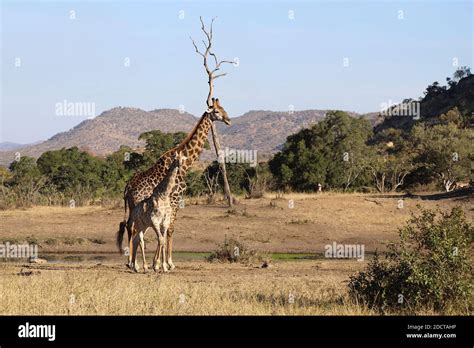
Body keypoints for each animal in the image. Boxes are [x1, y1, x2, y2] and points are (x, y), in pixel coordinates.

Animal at [116, 98, 231, 270]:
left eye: (223, 108)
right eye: (217, 111)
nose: (228, 120)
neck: (186, 164)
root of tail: (127, 188)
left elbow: (165, 231)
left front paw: (159, 263)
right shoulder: (176, 199)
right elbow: (170, 230)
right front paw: (167, 263)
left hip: (133, 207)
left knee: (130, 226)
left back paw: (133, 263)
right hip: (137, 206)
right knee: (135, 229)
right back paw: (135, 263)